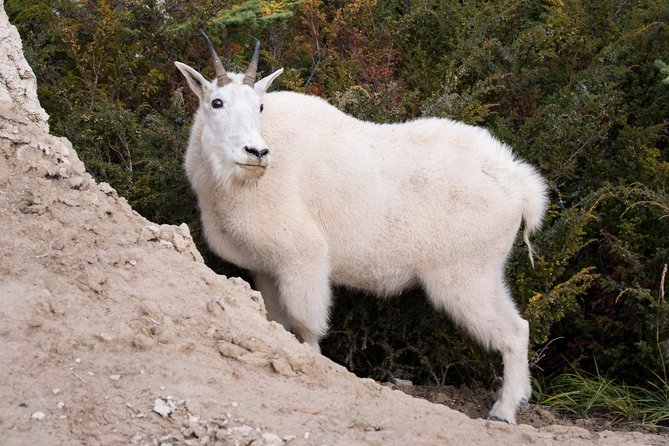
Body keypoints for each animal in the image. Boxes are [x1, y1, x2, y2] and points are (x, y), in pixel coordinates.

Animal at [176, 32, 548, 426]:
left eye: (259, 106)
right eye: (216, 102)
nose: (256, 152)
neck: (234, 183)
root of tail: (520, 186)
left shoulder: (303, 257)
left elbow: (306, 326)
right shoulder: (266, 269)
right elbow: (278, 323)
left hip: (464, 274)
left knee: (512, 331)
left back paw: (503, 412)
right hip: (485, 272)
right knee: (521, 325)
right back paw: (520, 398)